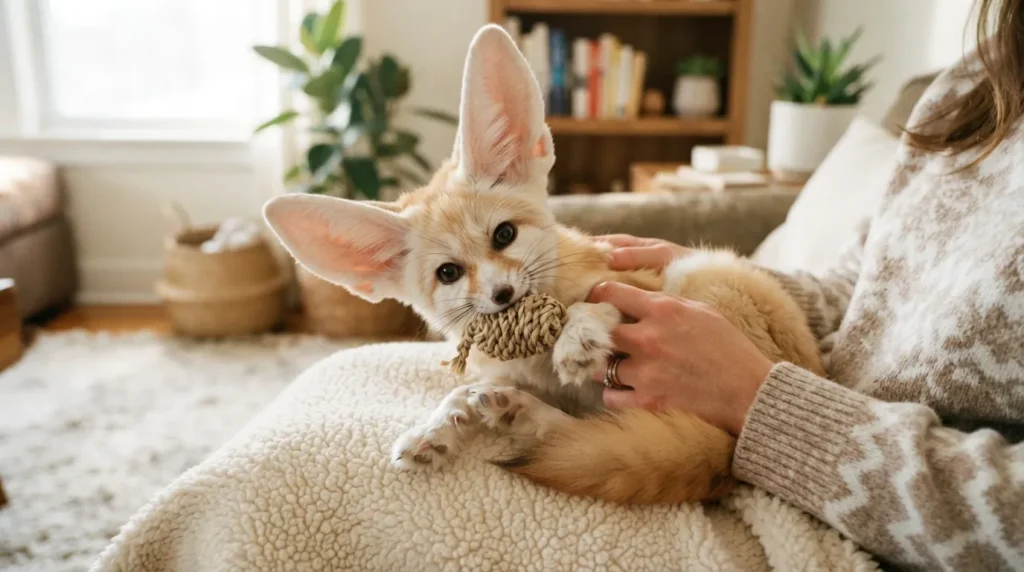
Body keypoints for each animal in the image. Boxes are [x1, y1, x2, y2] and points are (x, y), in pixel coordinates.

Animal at [263, 24, 825, 505]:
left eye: (504, 235)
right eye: (448, 273)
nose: (503, 296)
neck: (530, 360)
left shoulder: (628, 284)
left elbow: (598, 303)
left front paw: (579, 333)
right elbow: (461, 392)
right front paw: (434, 428)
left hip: (698, 272)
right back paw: (521, 412)